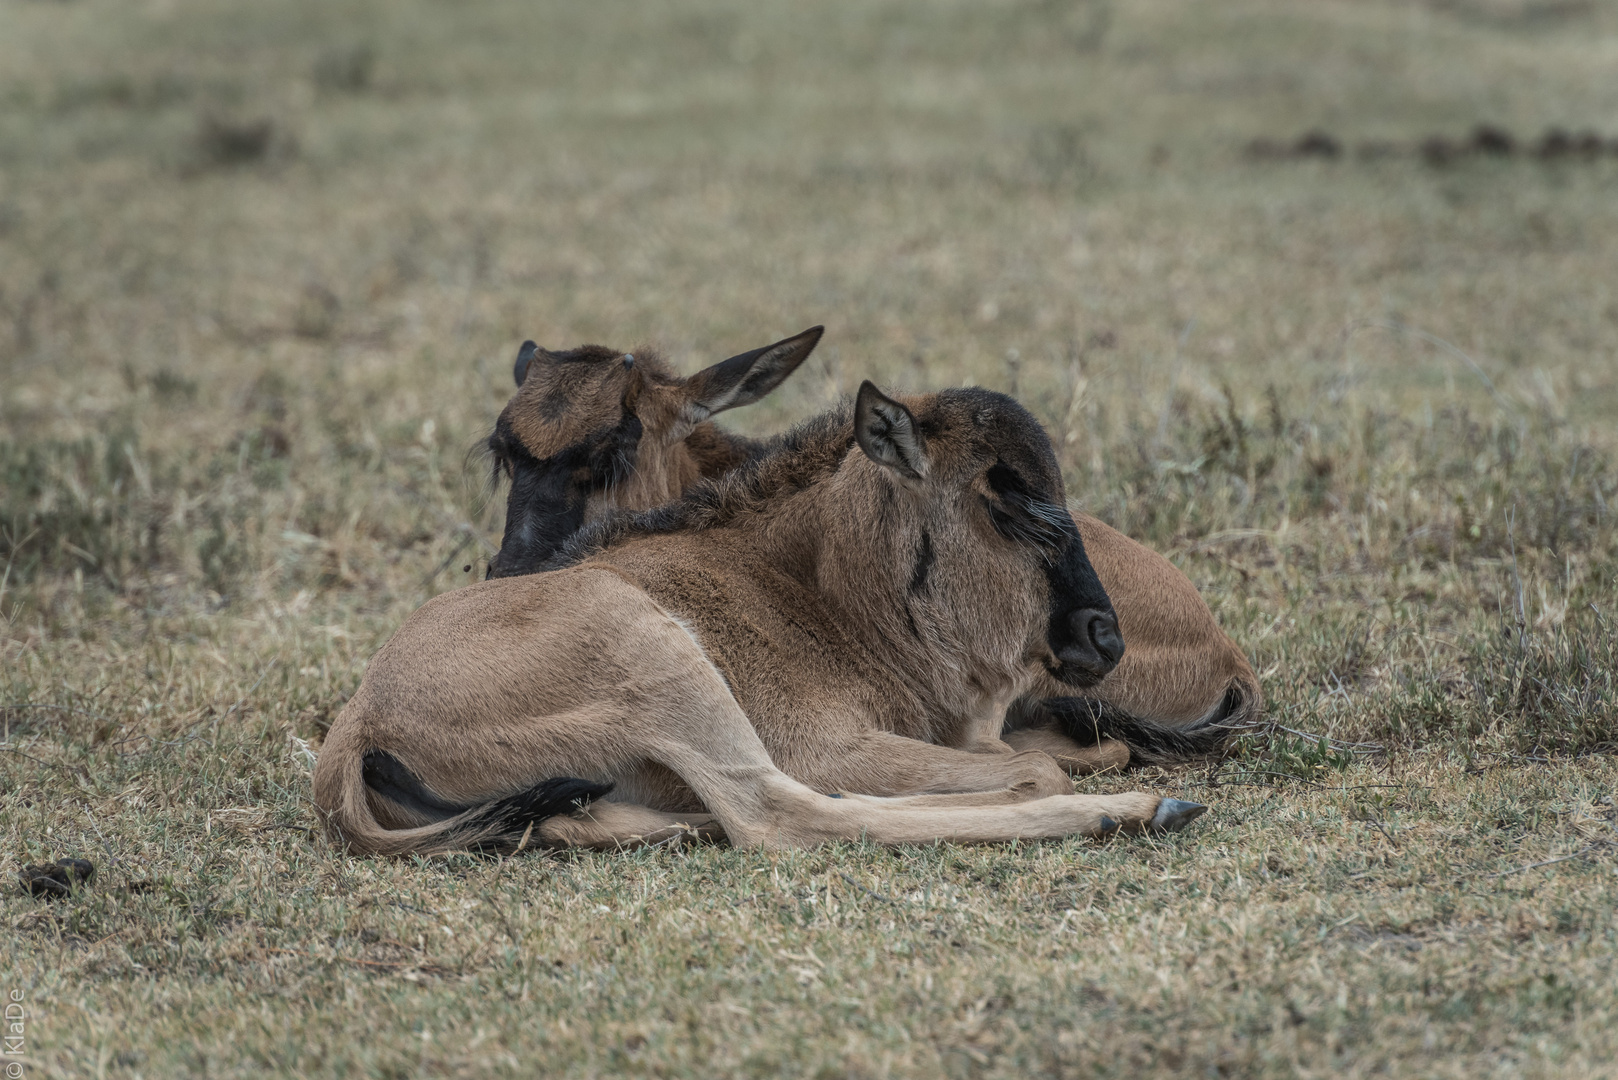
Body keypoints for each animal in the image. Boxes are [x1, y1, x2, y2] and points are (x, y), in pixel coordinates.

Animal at [312, 383, 1216, 854]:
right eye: (1010, 505)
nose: (1103, 636)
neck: (817, 586)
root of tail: (359, 723)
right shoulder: (831, 745)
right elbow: (1038, 769)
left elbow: (1081, 748)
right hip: (660, 662)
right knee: (775, 815)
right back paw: (1136, 811)